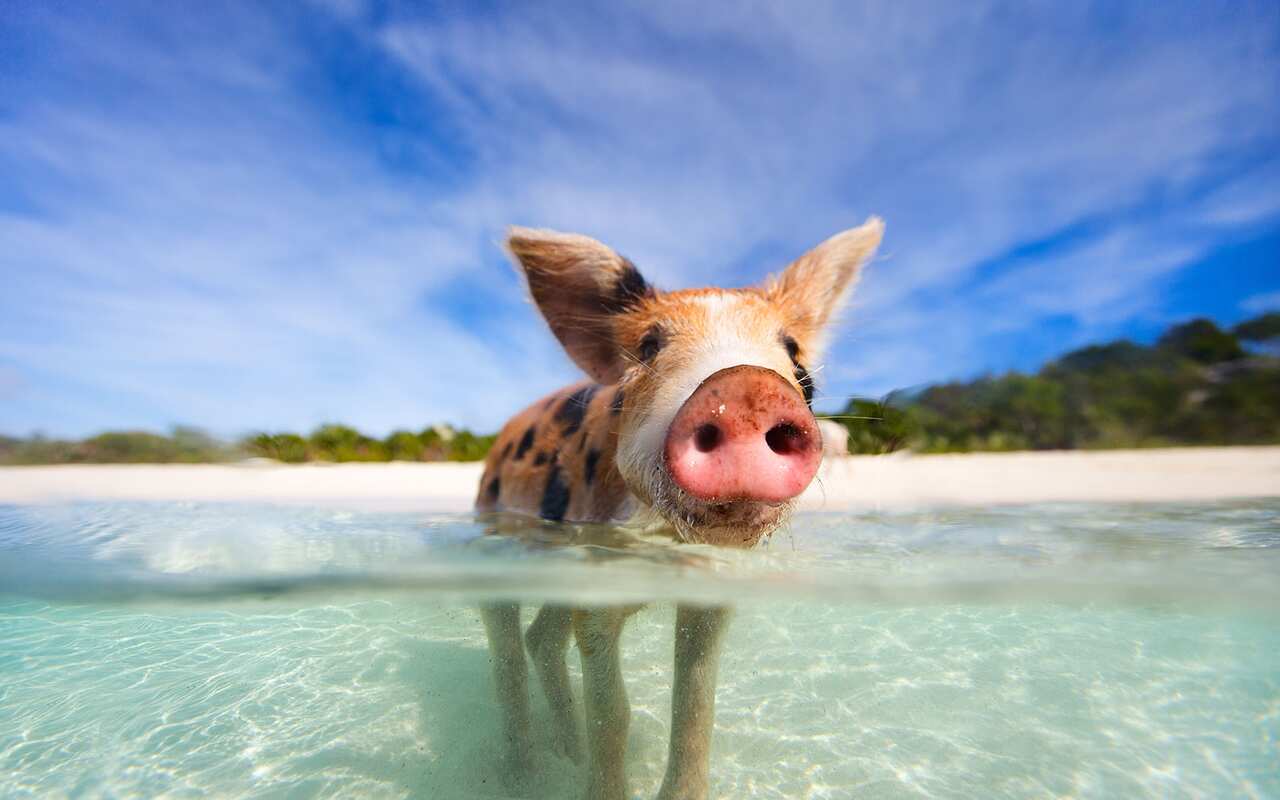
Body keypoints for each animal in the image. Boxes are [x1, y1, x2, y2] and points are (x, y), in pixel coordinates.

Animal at [474, 218, 884, 799]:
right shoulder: (596, 584)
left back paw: (565, 753)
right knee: (507, 645)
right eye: (648, 346)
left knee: (543, 640)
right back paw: (522, 774)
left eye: (796, 357)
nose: (745, 388)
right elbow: (613, 716)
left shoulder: (711, 590)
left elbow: (694, 708)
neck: (666, 544)